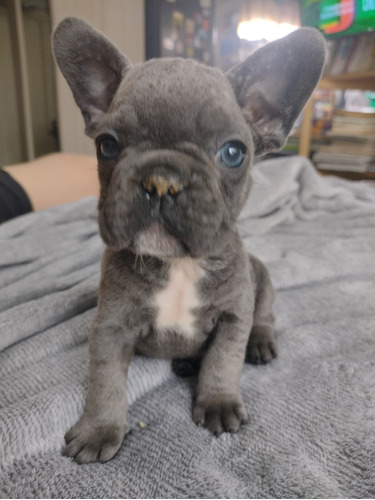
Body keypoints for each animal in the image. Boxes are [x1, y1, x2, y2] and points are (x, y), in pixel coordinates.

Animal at [52, 19, 326, 464]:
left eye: (233, 153)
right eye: (107, 145)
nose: (161, 180)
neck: (179, 263)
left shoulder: (233, 317)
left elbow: (223, 361)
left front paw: (217, 401)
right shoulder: (110, 326)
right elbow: (104, 379)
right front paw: (99, 428)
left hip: (262, 279)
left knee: (264, 314)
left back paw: (259, 343)